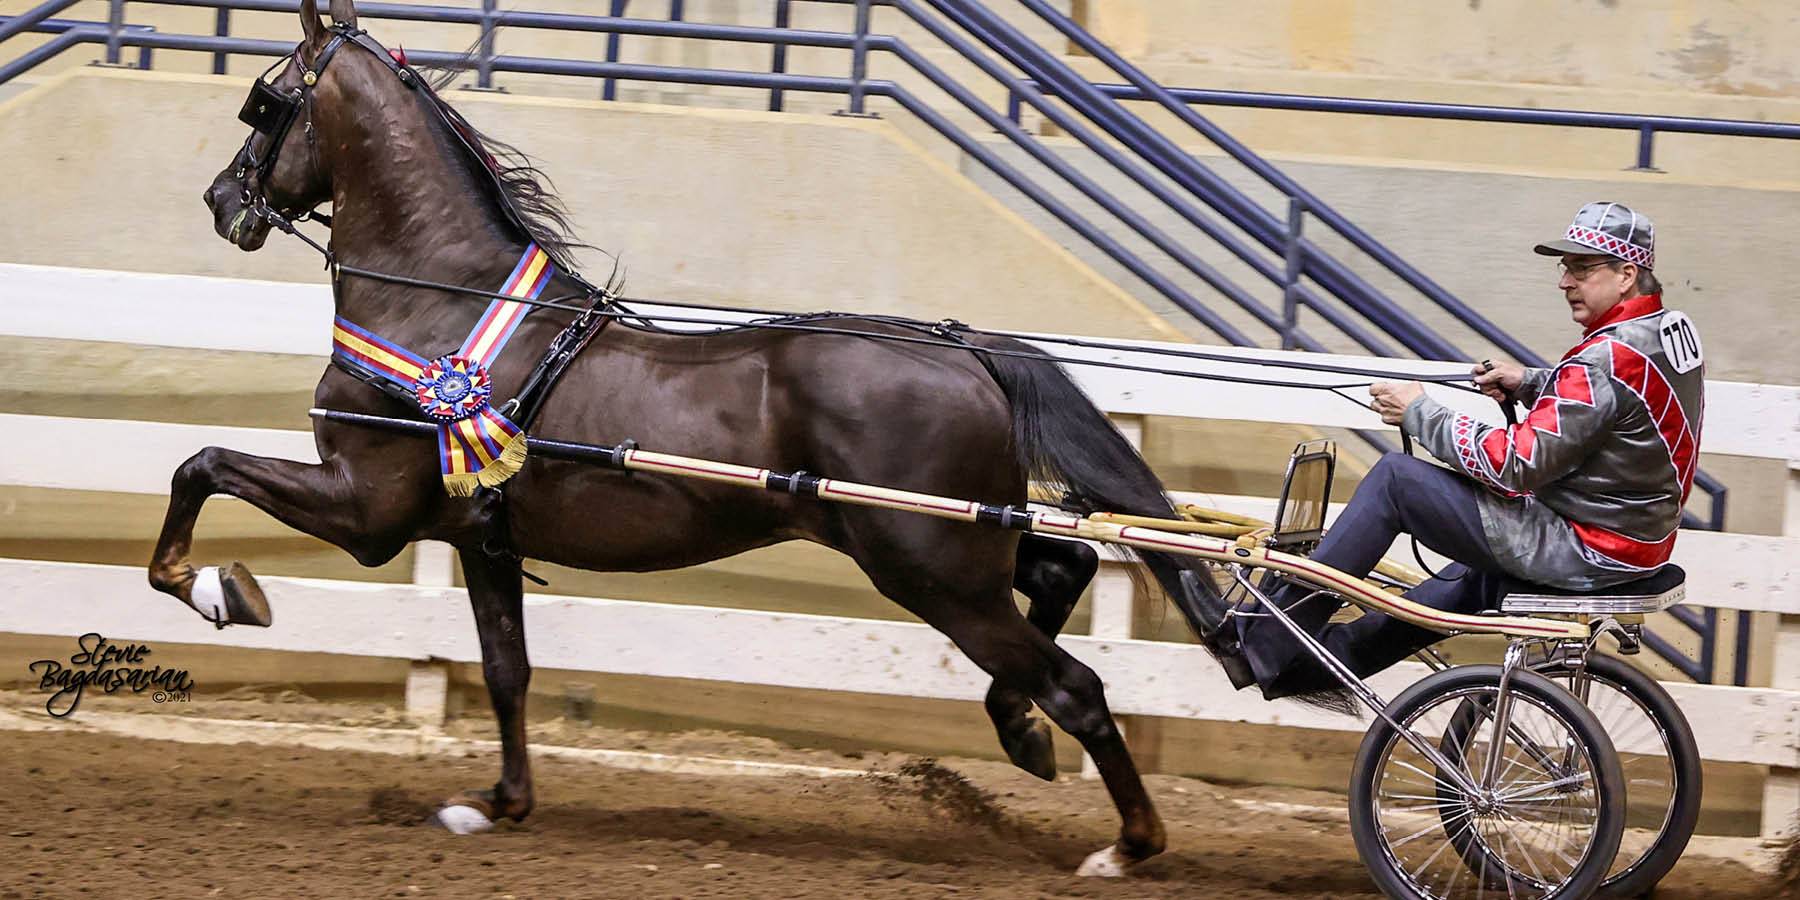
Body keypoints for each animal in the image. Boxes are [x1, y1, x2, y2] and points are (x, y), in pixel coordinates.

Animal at [154, 0, 1216, 874]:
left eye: (264, 102)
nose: (220, 201)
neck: (440, 308)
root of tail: (967, 353)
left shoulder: (367, 510)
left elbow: (201, 466)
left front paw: (219, 591)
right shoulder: (478, 537)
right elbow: (506, 668)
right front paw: (499, 803)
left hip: (929, 566)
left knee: (1077, 683)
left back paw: (1125, 842)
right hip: (951, 543)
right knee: (1063, 572)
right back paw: (1019, 732)